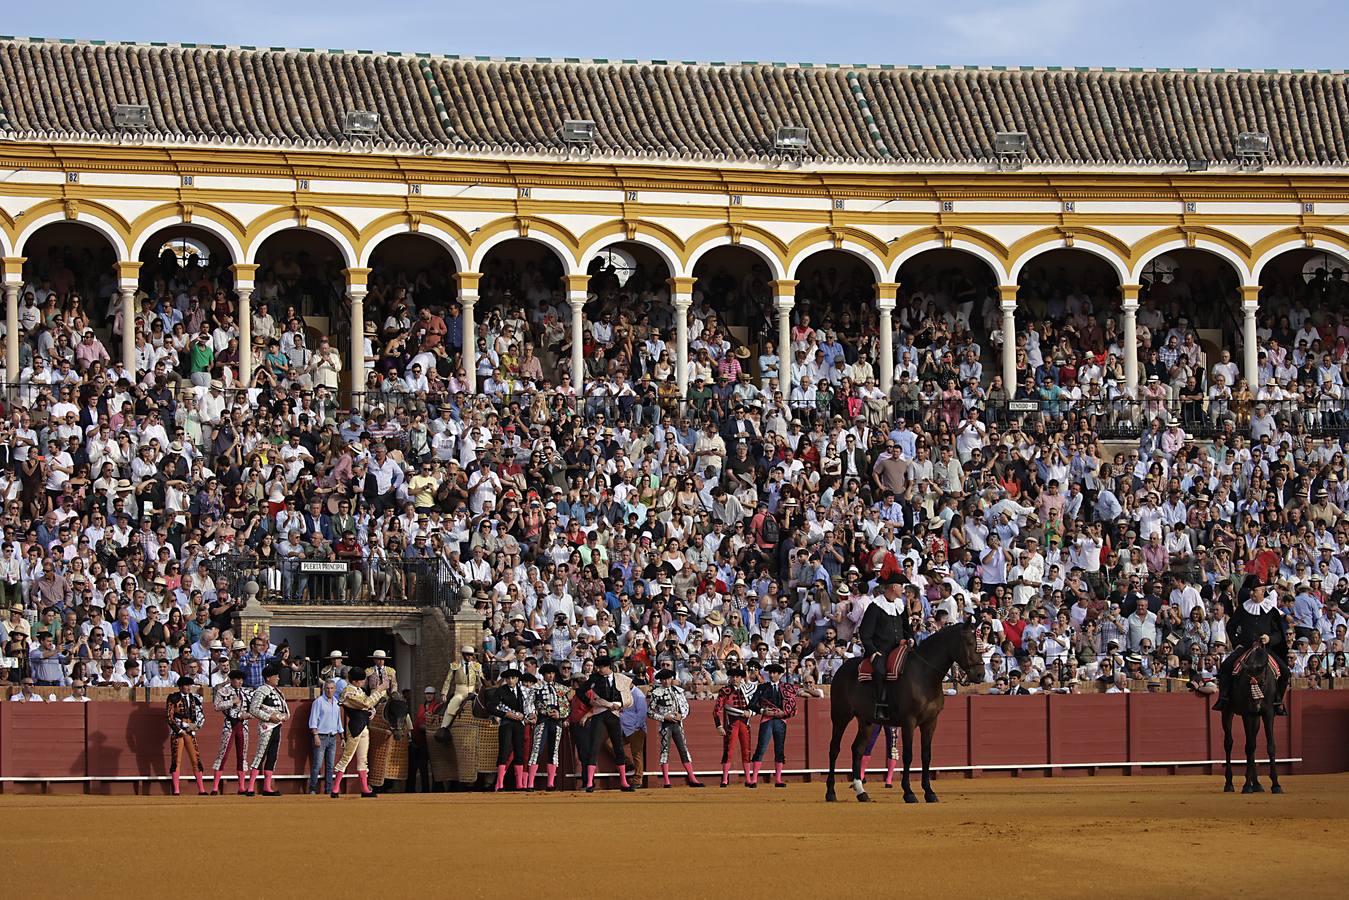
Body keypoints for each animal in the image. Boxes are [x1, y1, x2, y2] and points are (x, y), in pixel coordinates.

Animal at [820, 623, 982, 804]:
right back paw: (830, 792)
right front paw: (909, 792)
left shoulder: (931, 722)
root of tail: (841, 669)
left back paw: (861, 792)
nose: (980, 674)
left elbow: (926, 755)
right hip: (840, 716)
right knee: (834, 749)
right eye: (969, 643)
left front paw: (929, 792)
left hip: (866, 721)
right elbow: (908, 755)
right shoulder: (908, 721)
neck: (925, 674)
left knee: (858, 749)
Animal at [1224, 647, 1284, 793]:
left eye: (1262, 683)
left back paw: (1256, 784)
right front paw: (1246, 785)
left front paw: (1276, 785)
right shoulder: (1247, 714)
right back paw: (1229, 784)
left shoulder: (1268, 714)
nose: (1256, 705)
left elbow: (1270, 746)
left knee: (1254, 745)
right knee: (1228, 744)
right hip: (1227, 712)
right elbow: (1249, 747)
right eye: (1246, 682)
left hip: (1256, 719)